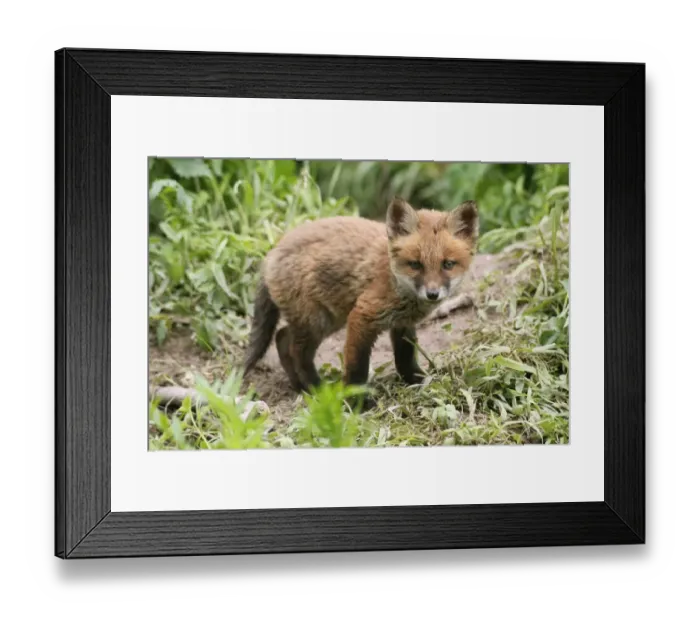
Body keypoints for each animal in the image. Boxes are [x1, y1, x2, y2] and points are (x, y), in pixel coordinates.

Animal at [242, 197, 479, 393]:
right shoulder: (362, 314)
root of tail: (272, 252)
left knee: (282, 337)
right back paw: (317, 389)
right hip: (318, 322)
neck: (395, 281)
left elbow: (405, 358)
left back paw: (299, 387)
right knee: (296, 351)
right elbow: (357, 366)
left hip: (327, 319)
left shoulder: (402, 323)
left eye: (447, 264)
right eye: (415, 265)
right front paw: (358, 400)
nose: (432, 294)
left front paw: (417, 381)